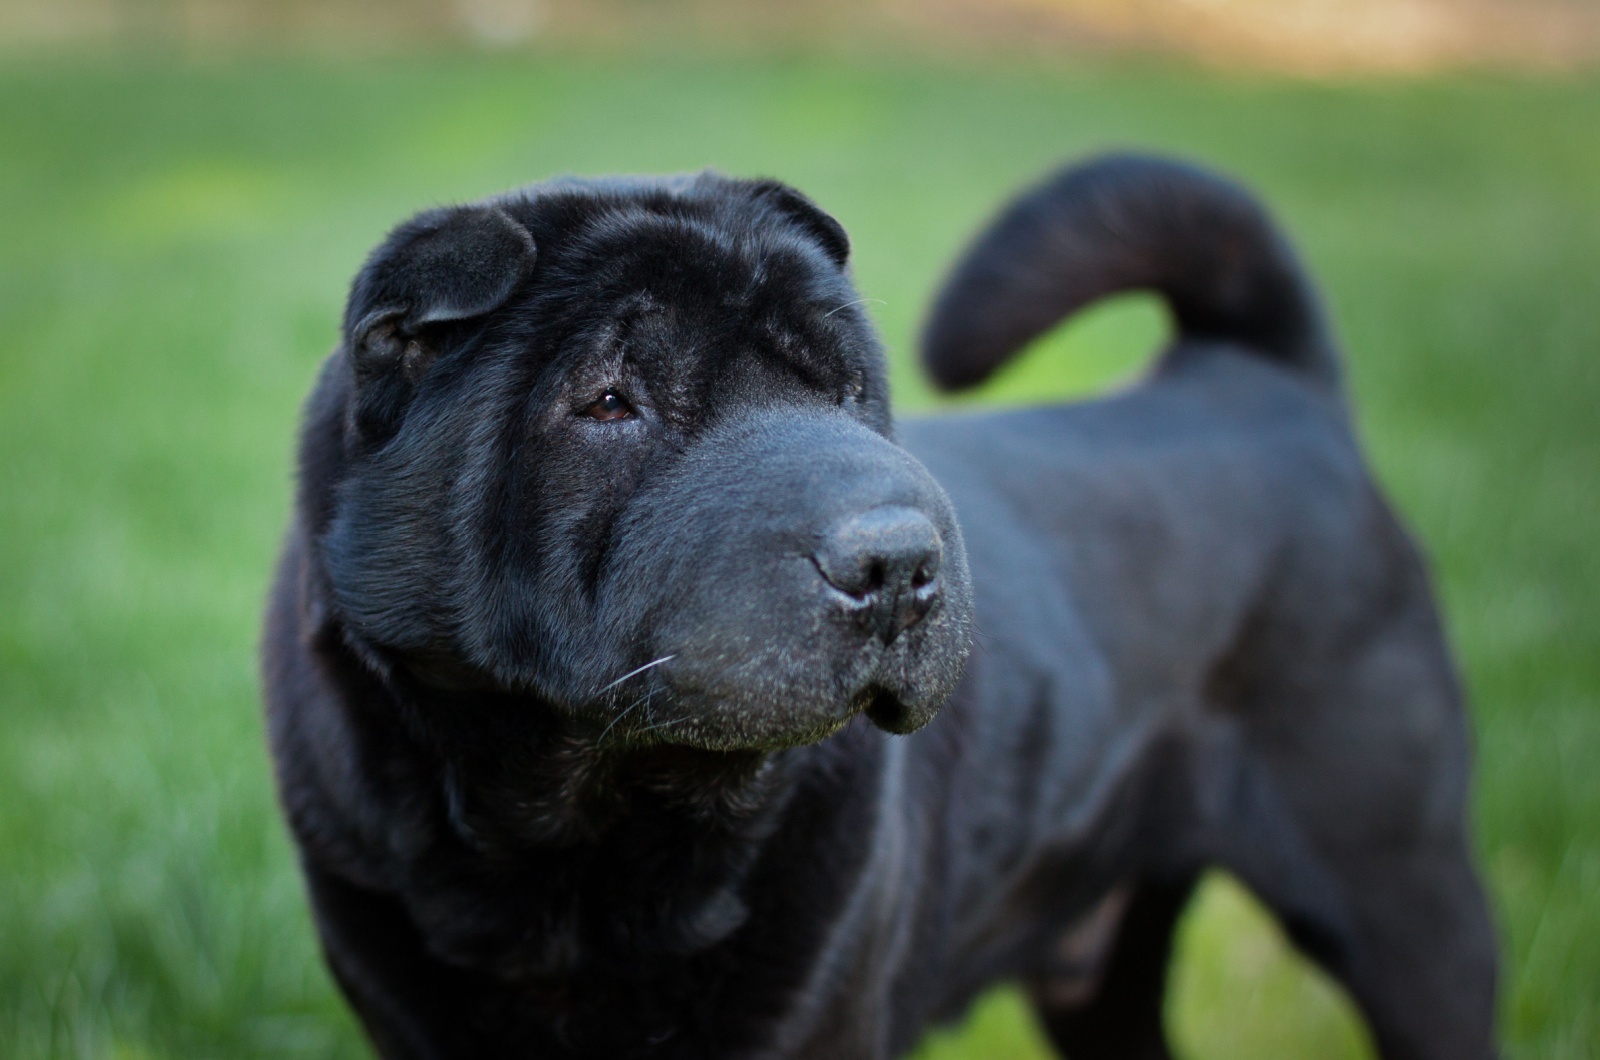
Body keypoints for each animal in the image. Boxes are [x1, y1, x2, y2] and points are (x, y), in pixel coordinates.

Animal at [262, 153, 1497, 1056]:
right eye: (610, 401)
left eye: (845, 388)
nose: (898, 560)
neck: (572, 840)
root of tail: (1268, 383)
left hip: (1401, 894)